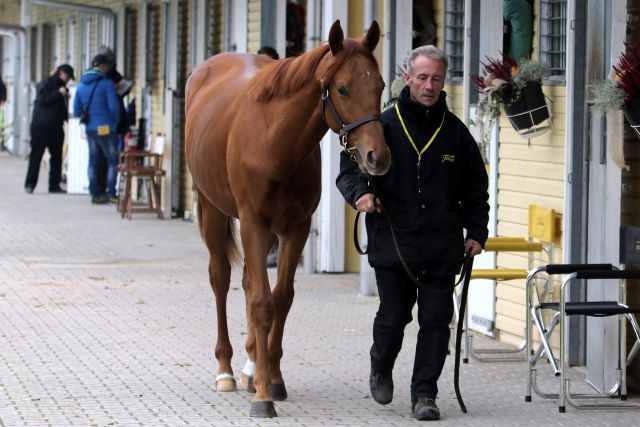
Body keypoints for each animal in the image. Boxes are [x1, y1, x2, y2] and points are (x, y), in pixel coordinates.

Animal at [182, 20, 388, 418]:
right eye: (342, 88)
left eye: (381, 86)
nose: (377, 157)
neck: (273, 139)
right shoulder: (253, 224)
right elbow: (263, 303)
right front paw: (263, 397)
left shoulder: (296, 229)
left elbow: (281, 299)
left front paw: (272, 380)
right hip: (214, 212)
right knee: (221, 279)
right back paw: (226, 371)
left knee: (248, 283)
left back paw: (250, 368)